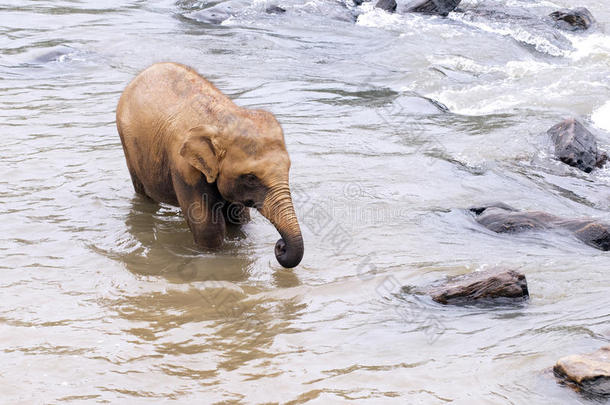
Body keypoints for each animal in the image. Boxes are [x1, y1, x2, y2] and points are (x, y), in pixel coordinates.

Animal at [115, 62, 302, 268]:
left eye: (289, 168)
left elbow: (238, 217)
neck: (223, 119)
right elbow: (208, 229)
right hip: (128, 146)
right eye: (251, 177)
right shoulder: (185, 168)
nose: (280, 246)